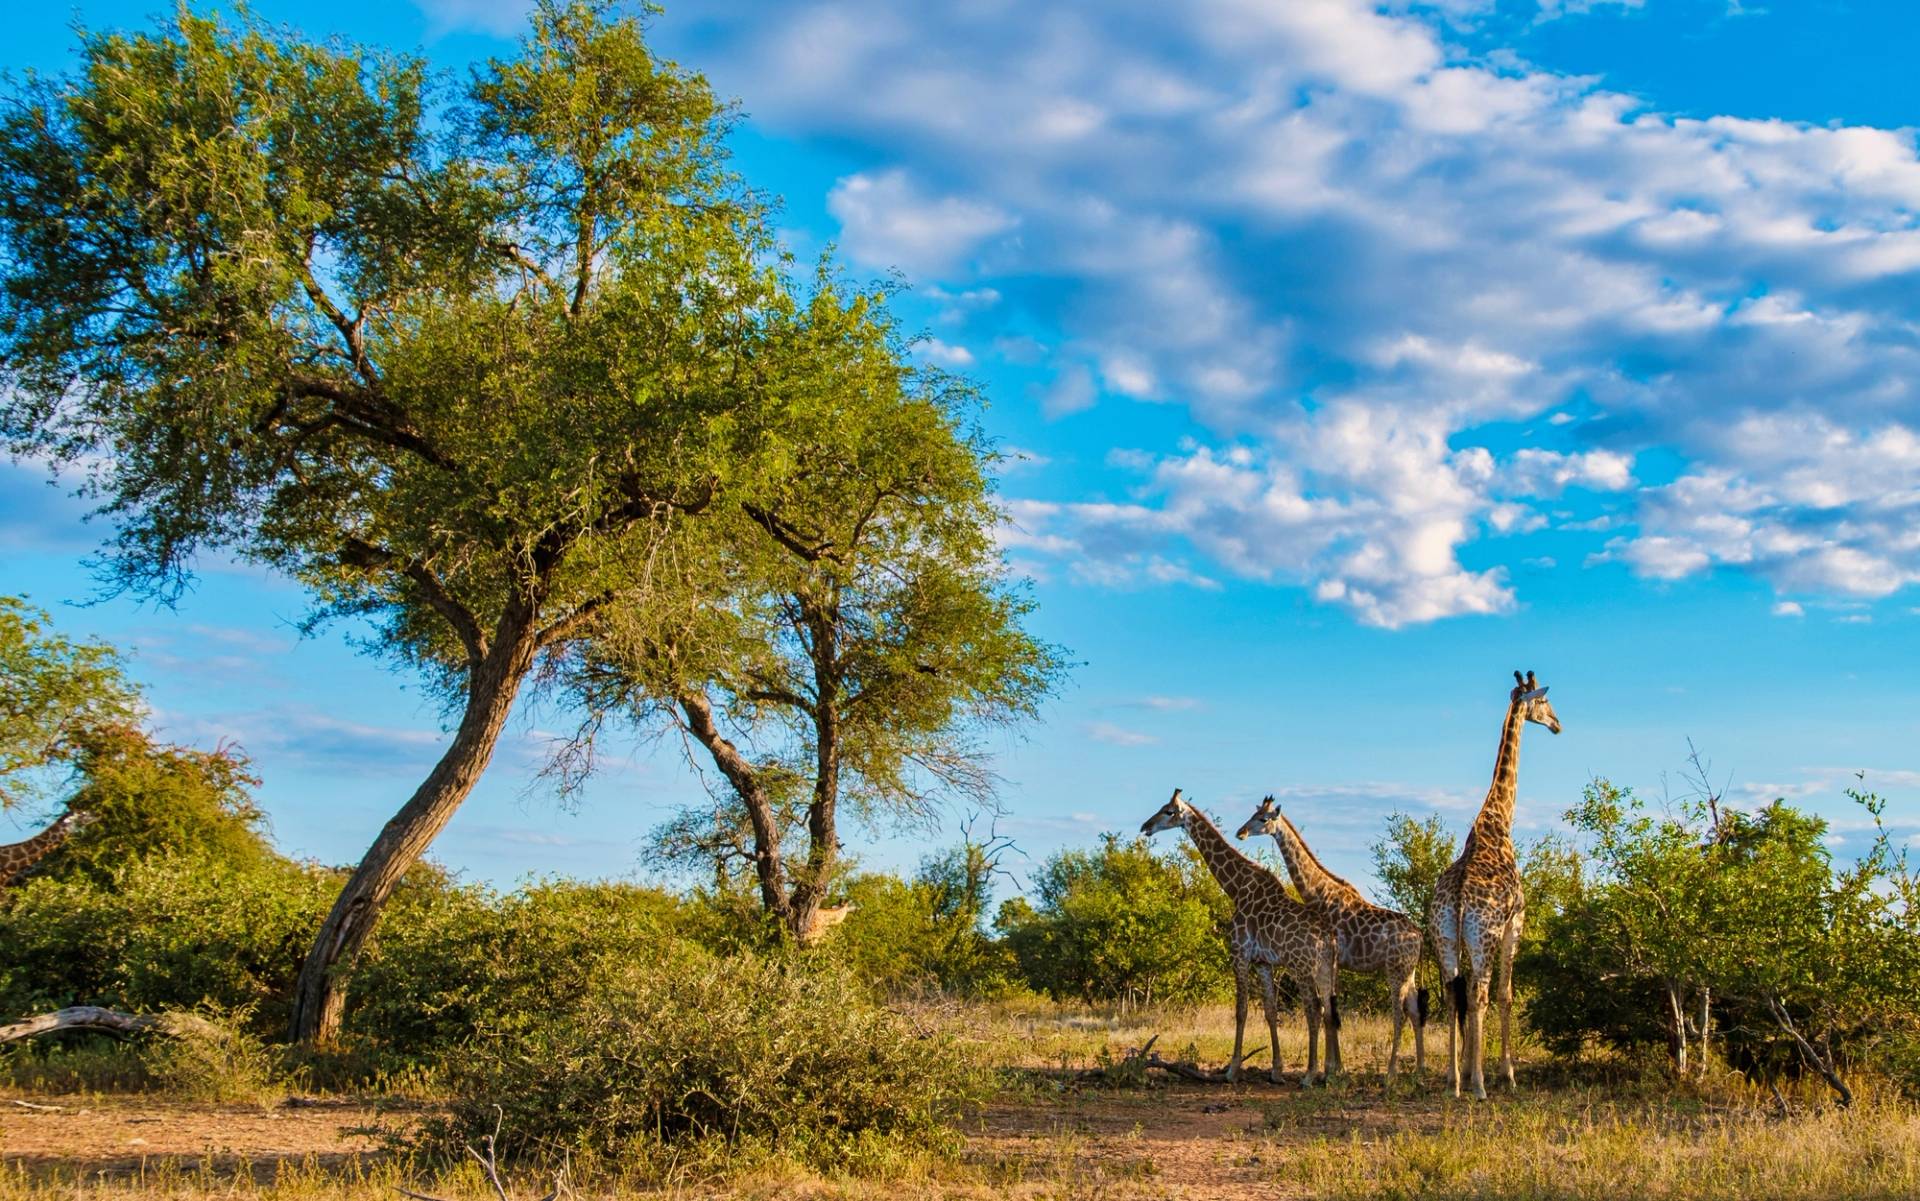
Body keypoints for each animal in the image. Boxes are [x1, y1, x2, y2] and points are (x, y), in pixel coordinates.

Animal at [1141, 788, 1341, 1085]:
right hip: (1326, 968)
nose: (1146, 827)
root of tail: (1329, 937)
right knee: (1328, 1009)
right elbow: (1270, 1011)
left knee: (1313, 1009)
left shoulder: (1239, 953)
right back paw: (1328, 1073)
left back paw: (1309, 1075)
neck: (1235, 888)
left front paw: (1233, 1070)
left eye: (1168, 811)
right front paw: (1276, 1071)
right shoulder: (1263, 962)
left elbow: (1241, 1010)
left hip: (1302, 966)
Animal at [1236, 796, 1428, 1090]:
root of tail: (1419, 935)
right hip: (1410, 971)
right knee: (1416, 1012)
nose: (1241, 832)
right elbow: (1332, 1012)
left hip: (1395, 971)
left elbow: (1328, 1011)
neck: (1318, 893)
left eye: (1263, 818)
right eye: (1253, 813)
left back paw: (1391, 1074)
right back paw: (1418, 1071)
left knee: (1399, 1014)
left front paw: (1330, 1071)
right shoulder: (1334, 963)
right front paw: (1336, 1070)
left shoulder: (1332, 960)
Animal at [1430, 669, 1561, 1100]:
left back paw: (1454, 1081)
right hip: (1483, 936)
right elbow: (1506, 995)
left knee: (1453, 993)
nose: (1557, 724)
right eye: (1544, 702)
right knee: (1481, 994)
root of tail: (1456, 901)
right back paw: (1480, 1085)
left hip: (1445, 938)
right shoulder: (1514, 923)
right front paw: (1507, 1074)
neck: (1498, 820)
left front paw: (1469, 1069)